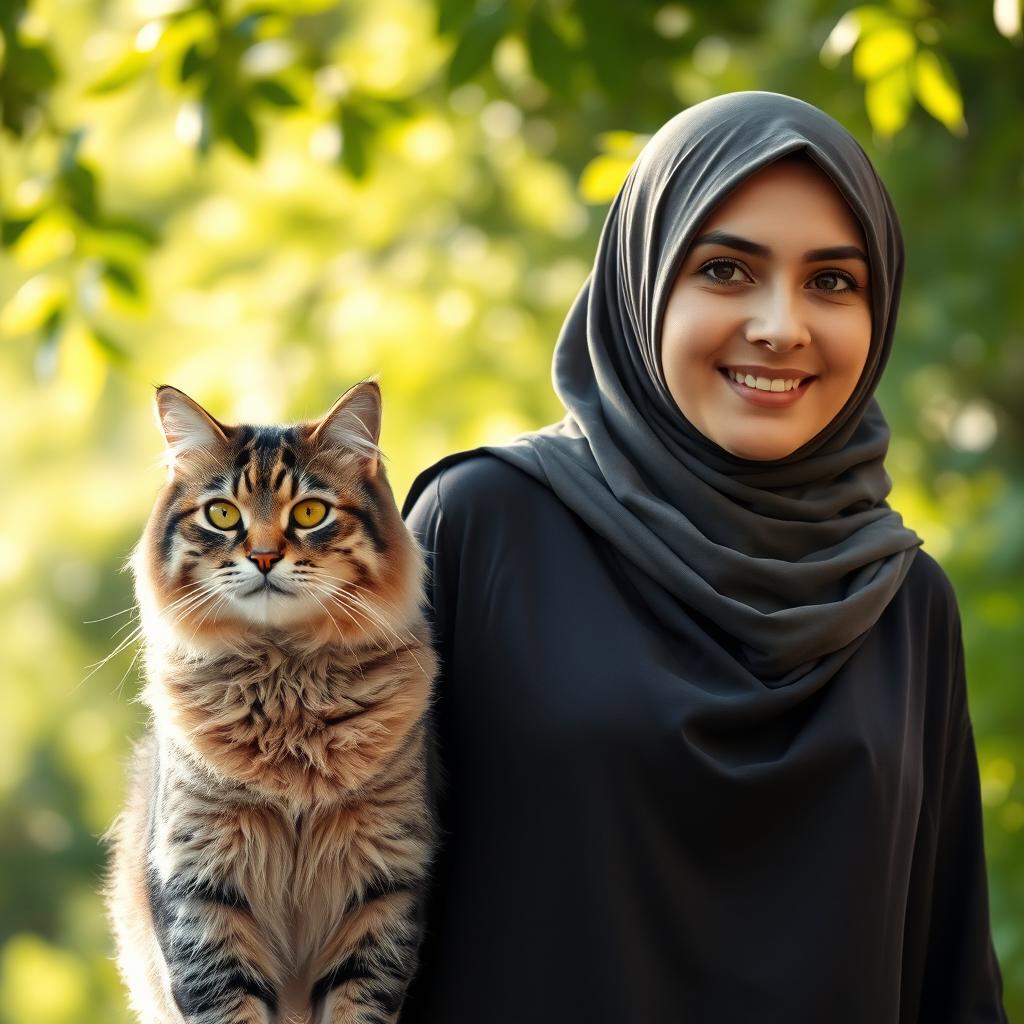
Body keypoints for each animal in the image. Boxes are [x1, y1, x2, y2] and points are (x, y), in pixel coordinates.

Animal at [102, 382, 436, 1024]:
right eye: (222, 515)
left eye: (308, 513)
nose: (261, 557)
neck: (286, 688)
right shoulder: (201, 893)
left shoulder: (382, 885)